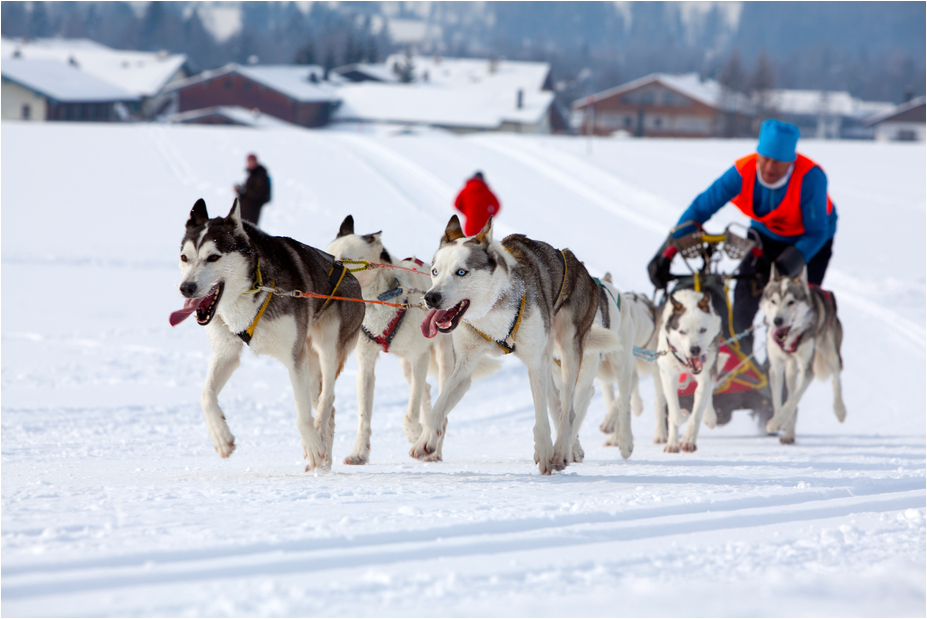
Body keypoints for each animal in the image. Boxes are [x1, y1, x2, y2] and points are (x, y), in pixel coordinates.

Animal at [172, 199, 364, 470]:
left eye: (213, 257)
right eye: (184, 257)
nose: (186, 288)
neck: (254, 287)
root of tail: (347, 271)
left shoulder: (294, 358)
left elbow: (302, 414)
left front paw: (311, 444)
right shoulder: (227, 352)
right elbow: (206, 395)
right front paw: (221, 437)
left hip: (328, 346)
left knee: (327, 398)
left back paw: (318, 436)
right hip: (311, 363)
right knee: (329, 407)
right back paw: (325, 459)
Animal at [412, 214, 620, 474]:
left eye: (461, 272)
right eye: (435, 271)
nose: (430, 297)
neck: (492, 311)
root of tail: (580, 265)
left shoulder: (533, 362)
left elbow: (541, 416)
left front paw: (544, 450)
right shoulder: (465, 366)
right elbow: (438, 406)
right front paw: (426, 439)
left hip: (568, 351)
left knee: (569, 409)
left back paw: (561, 450)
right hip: (547, 357)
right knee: (557, 403)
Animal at [652, 288, 724, 452]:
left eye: (703, 330)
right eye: (682, 331)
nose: (695, 349)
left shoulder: (706, 373)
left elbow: (697, 411)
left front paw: (688, 440)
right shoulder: (669, 375)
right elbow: (675, 413)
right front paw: (682, 415)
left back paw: (709, 416)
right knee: (660, 401)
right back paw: (668, 440)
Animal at [760, 264, 848, 444]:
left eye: (791, 302)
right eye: (773, 301)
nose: (777, 321)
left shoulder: (808, 369)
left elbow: (793, 399)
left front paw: (776, 423)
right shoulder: (776, 367)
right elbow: (779, 400)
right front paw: (778, 422)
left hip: (831, 353)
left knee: (836, 378)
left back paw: (840, 410)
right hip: (791, 368)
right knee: (791, 391)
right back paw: (788, 433)